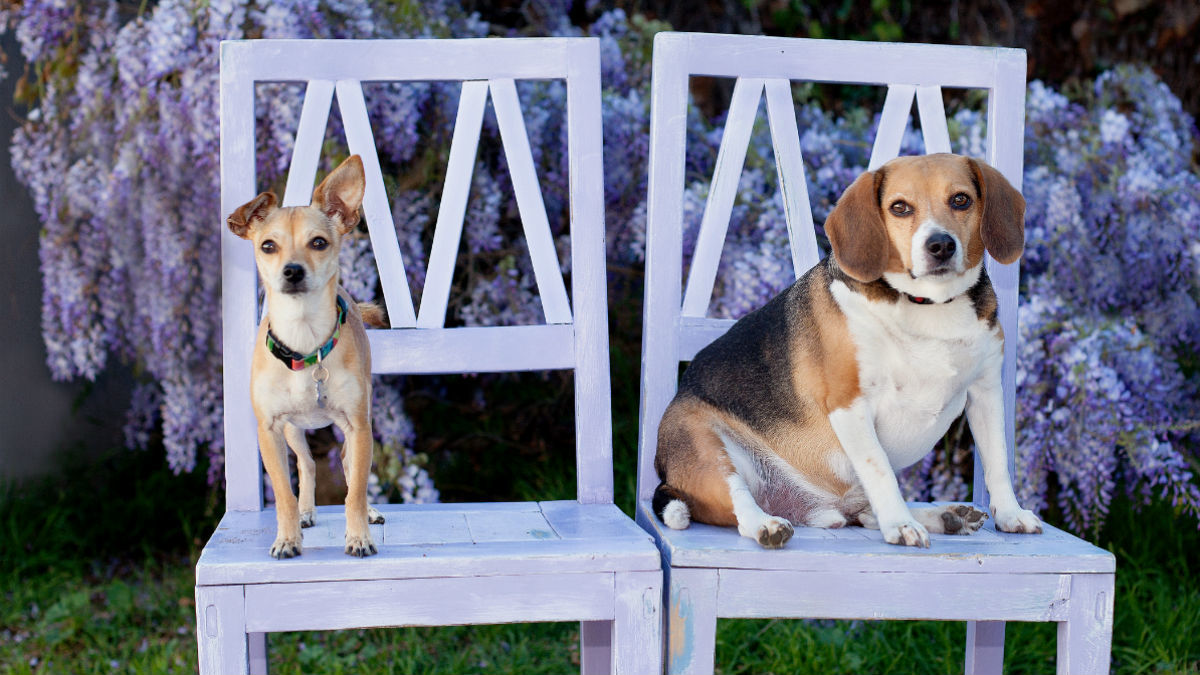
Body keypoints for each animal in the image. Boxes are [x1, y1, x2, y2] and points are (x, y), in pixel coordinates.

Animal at [228, 156, 384, 557]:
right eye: (268, 246)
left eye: (318, 243)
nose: (293, 270)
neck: (304, 340)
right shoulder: (269, 430)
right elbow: (283, 493)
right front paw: (287, 538)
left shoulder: (358, 426)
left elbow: (355, 490)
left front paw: (359, 536)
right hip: (292, 430)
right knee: (308, 464)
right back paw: (306, 513)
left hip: (361, 419)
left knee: (349, 467)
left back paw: (369, 511)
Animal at [657, 152, 1041, 547]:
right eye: (900, 207)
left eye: (961, 200)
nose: (940, 245)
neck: (929, 306)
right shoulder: (849, 403)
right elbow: (880, 470)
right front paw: (900, 525)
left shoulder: (986, 393)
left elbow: (997, 464)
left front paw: (1010, 514)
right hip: (709, 449)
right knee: (741, 503)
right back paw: (768, 524)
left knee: (864, 513)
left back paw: (945, 516)